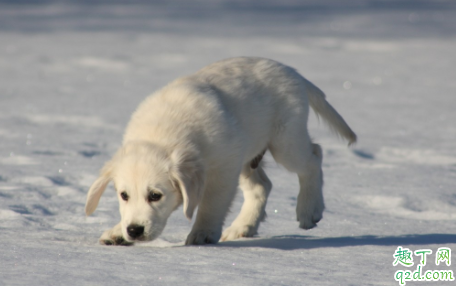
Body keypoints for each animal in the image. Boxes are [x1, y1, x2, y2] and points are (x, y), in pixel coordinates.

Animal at [85, 57, 356, 245]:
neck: (164, 135)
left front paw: (203, 233)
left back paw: (309, 210)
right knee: (262, 186)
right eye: (123, 195)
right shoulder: (231, 159)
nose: (134, 230)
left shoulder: (223, 168)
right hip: (247, 156)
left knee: (314, 157)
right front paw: (118, 232)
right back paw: (242, 227)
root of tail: (291, 71)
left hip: (285, 142)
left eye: (155, 195)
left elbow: (212, 203)